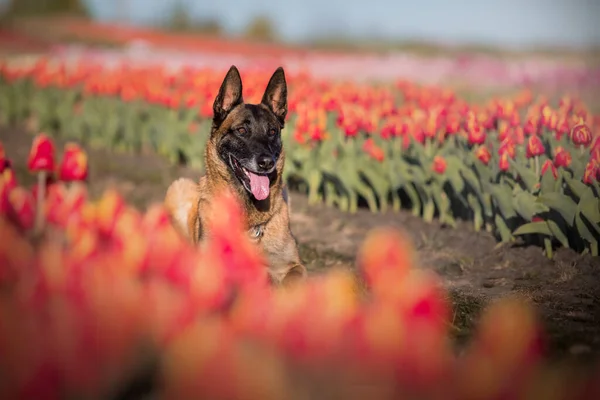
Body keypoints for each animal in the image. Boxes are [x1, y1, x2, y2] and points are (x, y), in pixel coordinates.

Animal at [164, 65, 308, 286]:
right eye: (241, 130)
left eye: (272, 131)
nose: (267, 163)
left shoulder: (293, 266)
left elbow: (291, 280)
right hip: (180, 187)